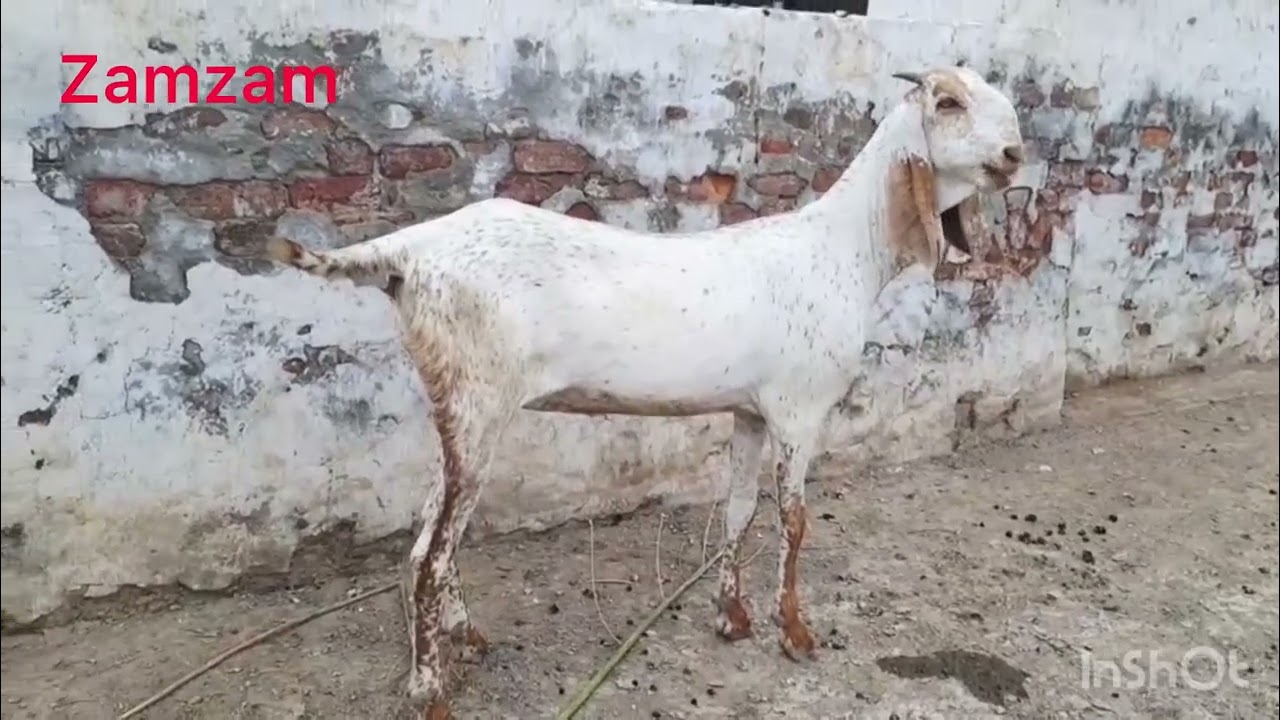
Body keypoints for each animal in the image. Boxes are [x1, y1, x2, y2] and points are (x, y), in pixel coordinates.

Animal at [265, 65, 1024, 719]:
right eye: (947, 103)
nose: (1016, 153)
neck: (844, 249)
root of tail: (408, 252)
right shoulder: (799, 410)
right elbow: (795, 521)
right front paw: (794, 632)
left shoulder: (751, 412)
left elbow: (738, 510)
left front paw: (732, 616)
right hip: (479, 407)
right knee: (431, 557)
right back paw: (429, 691)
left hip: (456, 410)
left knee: (425, 539)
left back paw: (465, 637)